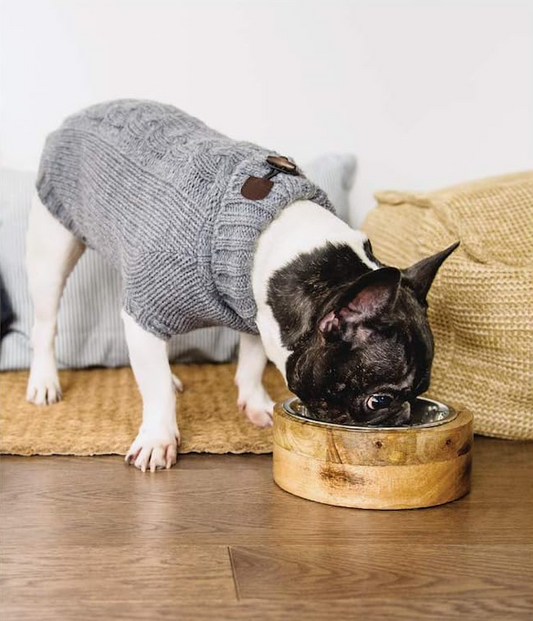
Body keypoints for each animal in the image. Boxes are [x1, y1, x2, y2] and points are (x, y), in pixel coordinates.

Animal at [25, 100, 458, 470]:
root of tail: (81, 114)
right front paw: (159, 437)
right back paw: (44, 382)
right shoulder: (150, 311)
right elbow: (156, 389)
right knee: (46, 325)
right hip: (52, 252)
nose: (403, 417)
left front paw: (255, 404)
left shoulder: (257, 313)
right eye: (378, 400)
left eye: (422, 389)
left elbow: (250, 362)